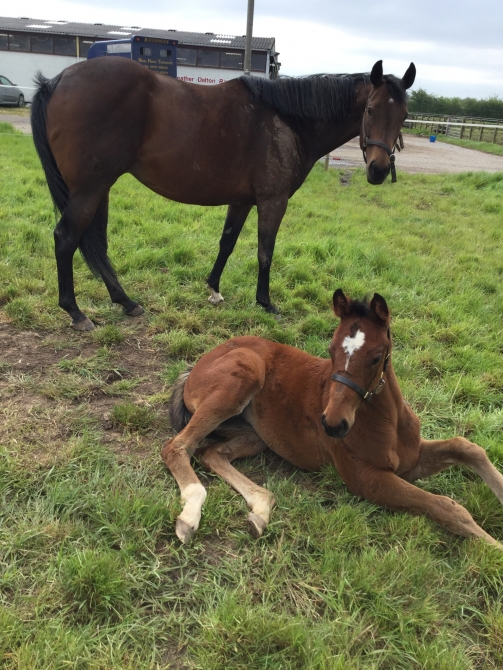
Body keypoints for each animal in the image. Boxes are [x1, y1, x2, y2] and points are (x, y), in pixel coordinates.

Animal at [30, 59, 415, 330]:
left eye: (404, 115)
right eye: (370, 110)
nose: (379, 170)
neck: (288, 120)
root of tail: (57, 81)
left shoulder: (242, 200)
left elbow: (227, 242)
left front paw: (213, 289)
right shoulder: (273, 201)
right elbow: (265, 251)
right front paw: (265, 302)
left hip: (99, 188)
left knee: (97, 243)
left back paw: (125, 302)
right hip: (90, 189)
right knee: (66, 238)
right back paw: (76, 313)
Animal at [162, 289, 503, 548]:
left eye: (376, 356)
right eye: (330, 349)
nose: (332, 424)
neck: (388, 422)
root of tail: (194, 367)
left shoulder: (410, 460)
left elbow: (466, 446)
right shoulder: (365, 478)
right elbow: (446, 505)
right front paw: (494, 549)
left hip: (256, 436)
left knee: (211, 453)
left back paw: (260, 510)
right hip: (242, 379)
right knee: (177, 447)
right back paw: (190, 515)